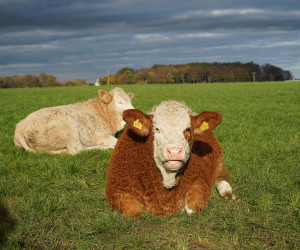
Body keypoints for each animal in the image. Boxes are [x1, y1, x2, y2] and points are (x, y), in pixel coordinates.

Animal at [106, 100, 236, 218]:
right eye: (157, 129)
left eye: (188, 129)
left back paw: (227, 192)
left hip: (220, 162)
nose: (174, 152)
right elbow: (133, 211)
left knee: (222, 177)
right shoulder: (117, 189)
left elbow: (192, 208)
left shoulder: (200, 179)